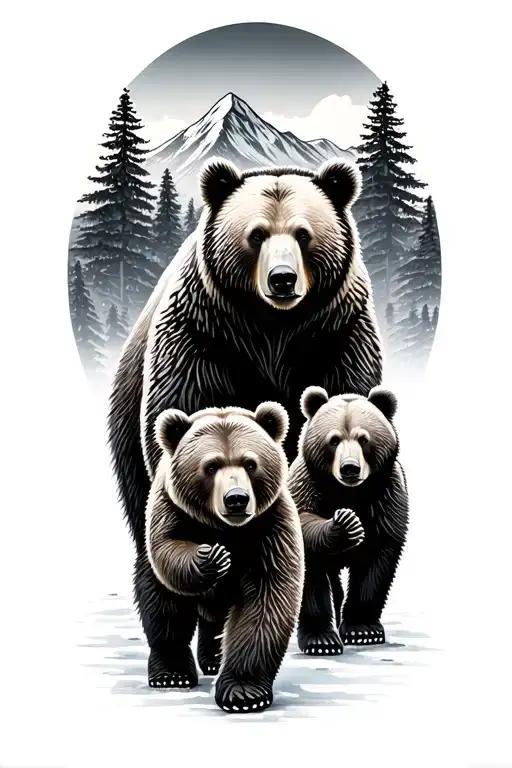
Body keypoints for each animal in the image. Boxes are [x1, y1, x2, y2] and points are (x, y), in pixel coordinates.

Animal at [144, 401, 304, 713]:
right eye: (211, 466)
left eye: (251, 463)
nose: (237, 498)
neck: (227, 529)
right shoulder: (171, 511)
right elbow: (168, 554)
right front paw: (211, 557)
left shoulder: (270, 527)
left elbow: (266, 601)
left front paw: (244, 693)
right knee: (163, 608)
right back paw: (171, 672)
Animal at [288, 385, 408, 654]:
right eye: (334, 439)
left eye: (364, 438)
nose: (350, 467)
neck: (348, 493)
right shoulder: (307, 486)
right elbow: (310, 567)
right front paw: (321, 641)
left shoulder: (386, 498)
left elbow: (376, 566)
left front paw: (363, 631)